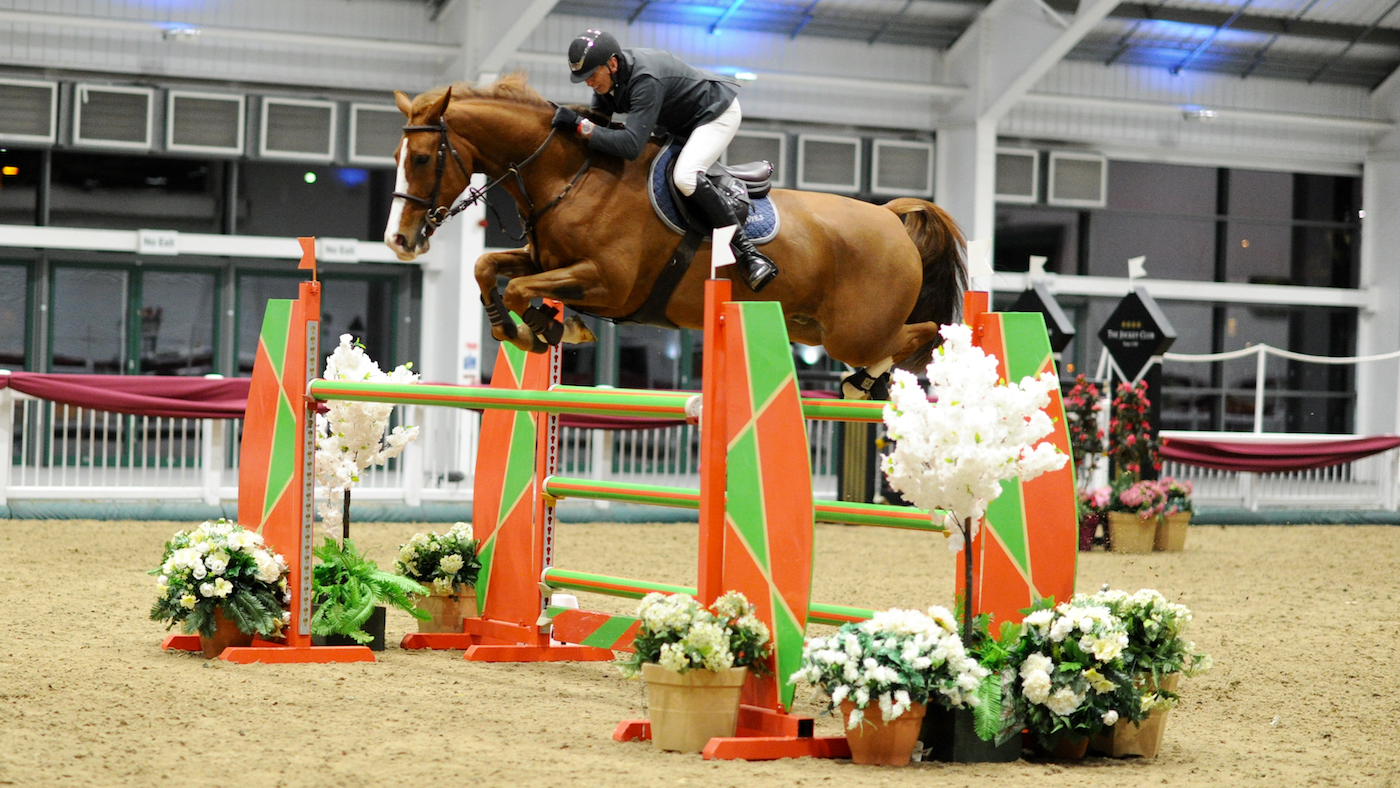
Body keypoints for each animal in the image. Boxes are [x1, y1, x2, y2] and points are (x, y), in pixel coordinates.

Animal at [383, 74, 968, 394]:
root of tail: (890, 217)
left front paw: (545, 329)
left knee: (926, 333)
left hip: (854, 332)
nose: (399, 241)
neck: (572, 175)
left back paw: (865, 382)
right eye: (394, 156)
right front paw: (522, 328)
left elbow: (525, 289)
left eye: (421, 158)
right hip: (810, 330)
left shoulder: (609, 284)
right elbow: (489, 268)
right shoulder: (546, 260)